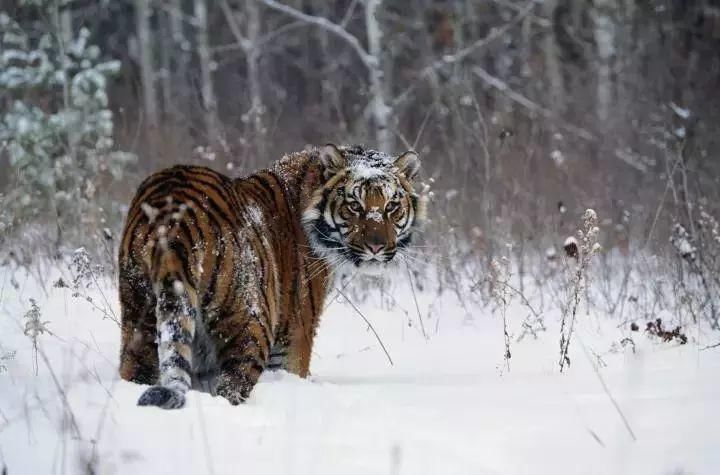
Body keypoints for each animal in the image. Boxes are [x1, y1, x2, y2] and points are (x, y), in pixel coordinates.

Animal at [115, 144, 424, 410]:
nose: (376, 247)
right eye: (355, 206)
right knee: (231, 386)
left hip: (139, 317)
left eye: (391, 206)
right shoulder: (294, 336)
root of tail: (173, 215)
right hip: (250, 324)